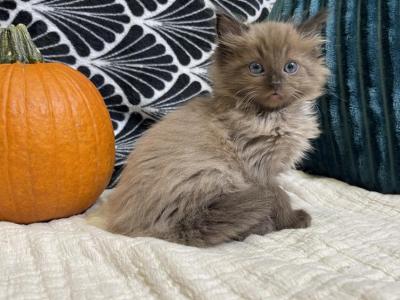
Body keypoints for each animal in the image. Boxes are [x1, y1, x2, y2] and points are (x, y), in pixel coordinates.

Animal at [89, 11, 330, 246]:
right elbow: (279, 197)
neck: (272, 117)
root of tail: (125, 227)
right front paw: (293, 220)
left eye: (290, 67)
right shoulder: (258, 170)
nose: (276, 84)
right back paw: (258, 225)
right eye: (256, 68)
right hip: (210, 174)